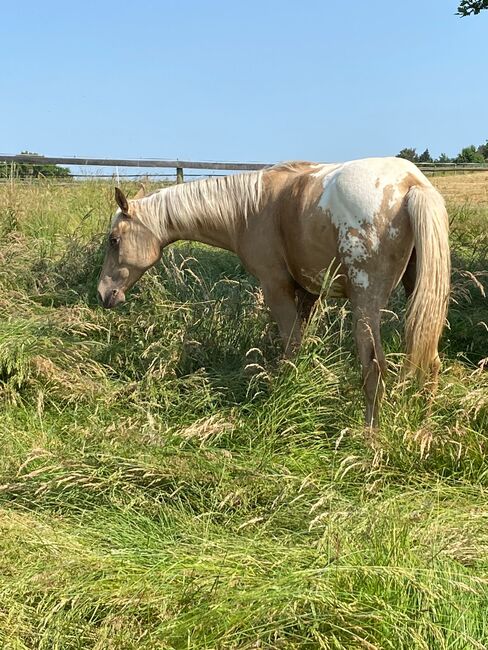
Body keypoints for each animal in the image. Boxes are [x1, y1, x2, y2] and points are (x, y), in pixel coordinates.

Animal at [97, 157, 452, 426]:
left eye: (113, 240)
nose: (103, 293)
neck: (251, 208)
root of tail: (412, 183)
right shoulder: (308, 293)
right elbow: (298, 343)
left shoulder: (276, 288)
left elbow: (289, 346)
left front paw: (282, 392)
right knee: (430, 361)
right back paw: (424, 424)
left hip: (366, 304)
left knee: (374, 367)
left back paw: (370, 438)